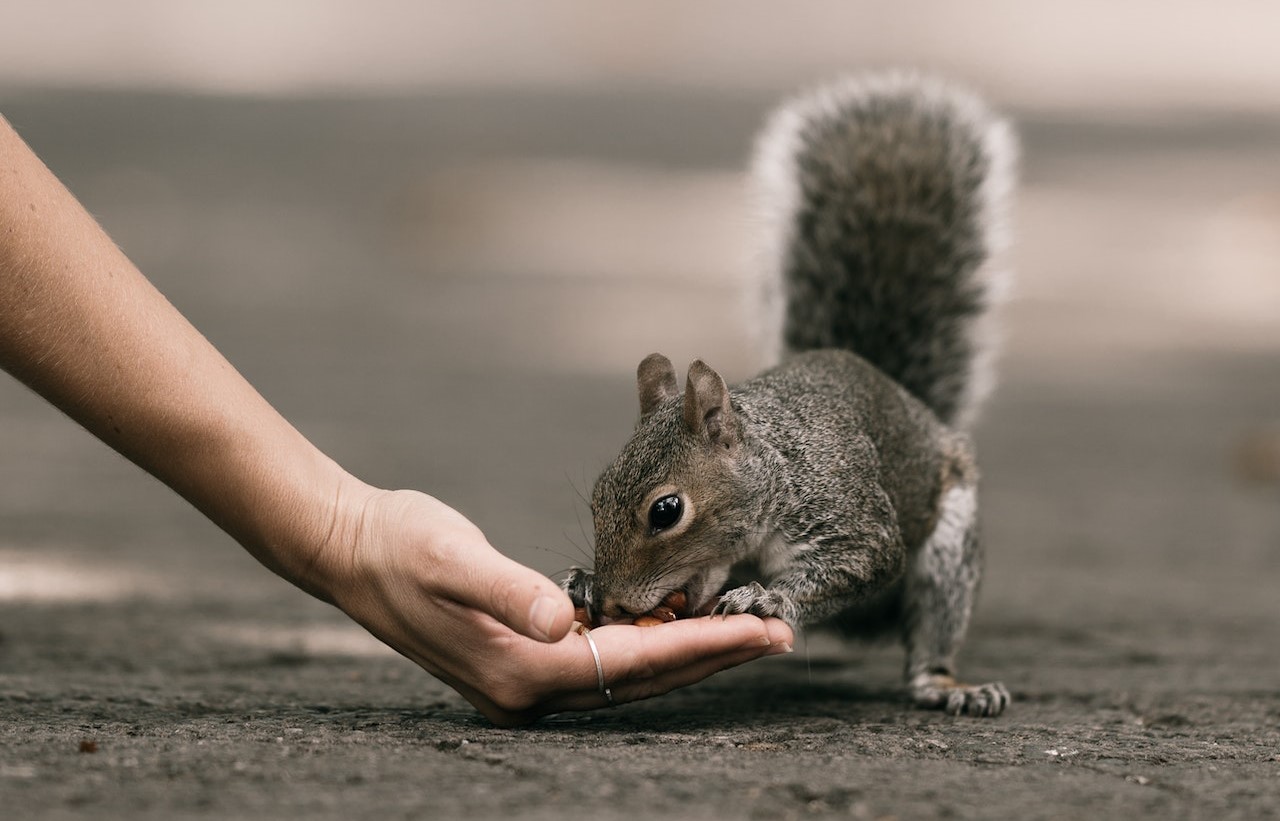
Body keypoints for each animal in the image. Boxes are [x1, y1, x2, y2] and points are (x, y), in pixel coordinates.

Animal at [565, 76, 1013, 717]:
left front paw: (767, 600)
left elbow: (864, 560)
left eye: (666, 511)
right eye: (597, 497)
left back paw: (951, 686)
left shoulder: (849, 517)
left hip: (949, 549)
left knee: (934, 629)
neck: (776, 468)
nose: (610, 606)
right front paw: (578, 580)